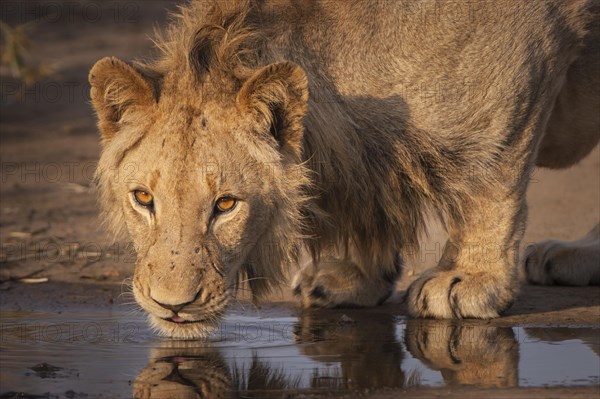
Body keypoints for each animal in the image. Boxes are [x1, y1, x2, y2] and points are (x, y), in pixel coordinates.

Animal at [90, 0, 600, 340]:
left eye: (226, 204)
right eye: (143, 199)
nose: (172, 307)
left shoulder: (521, 56)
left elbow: (491, 179)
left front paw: (468, 279)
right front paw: (354, 276)